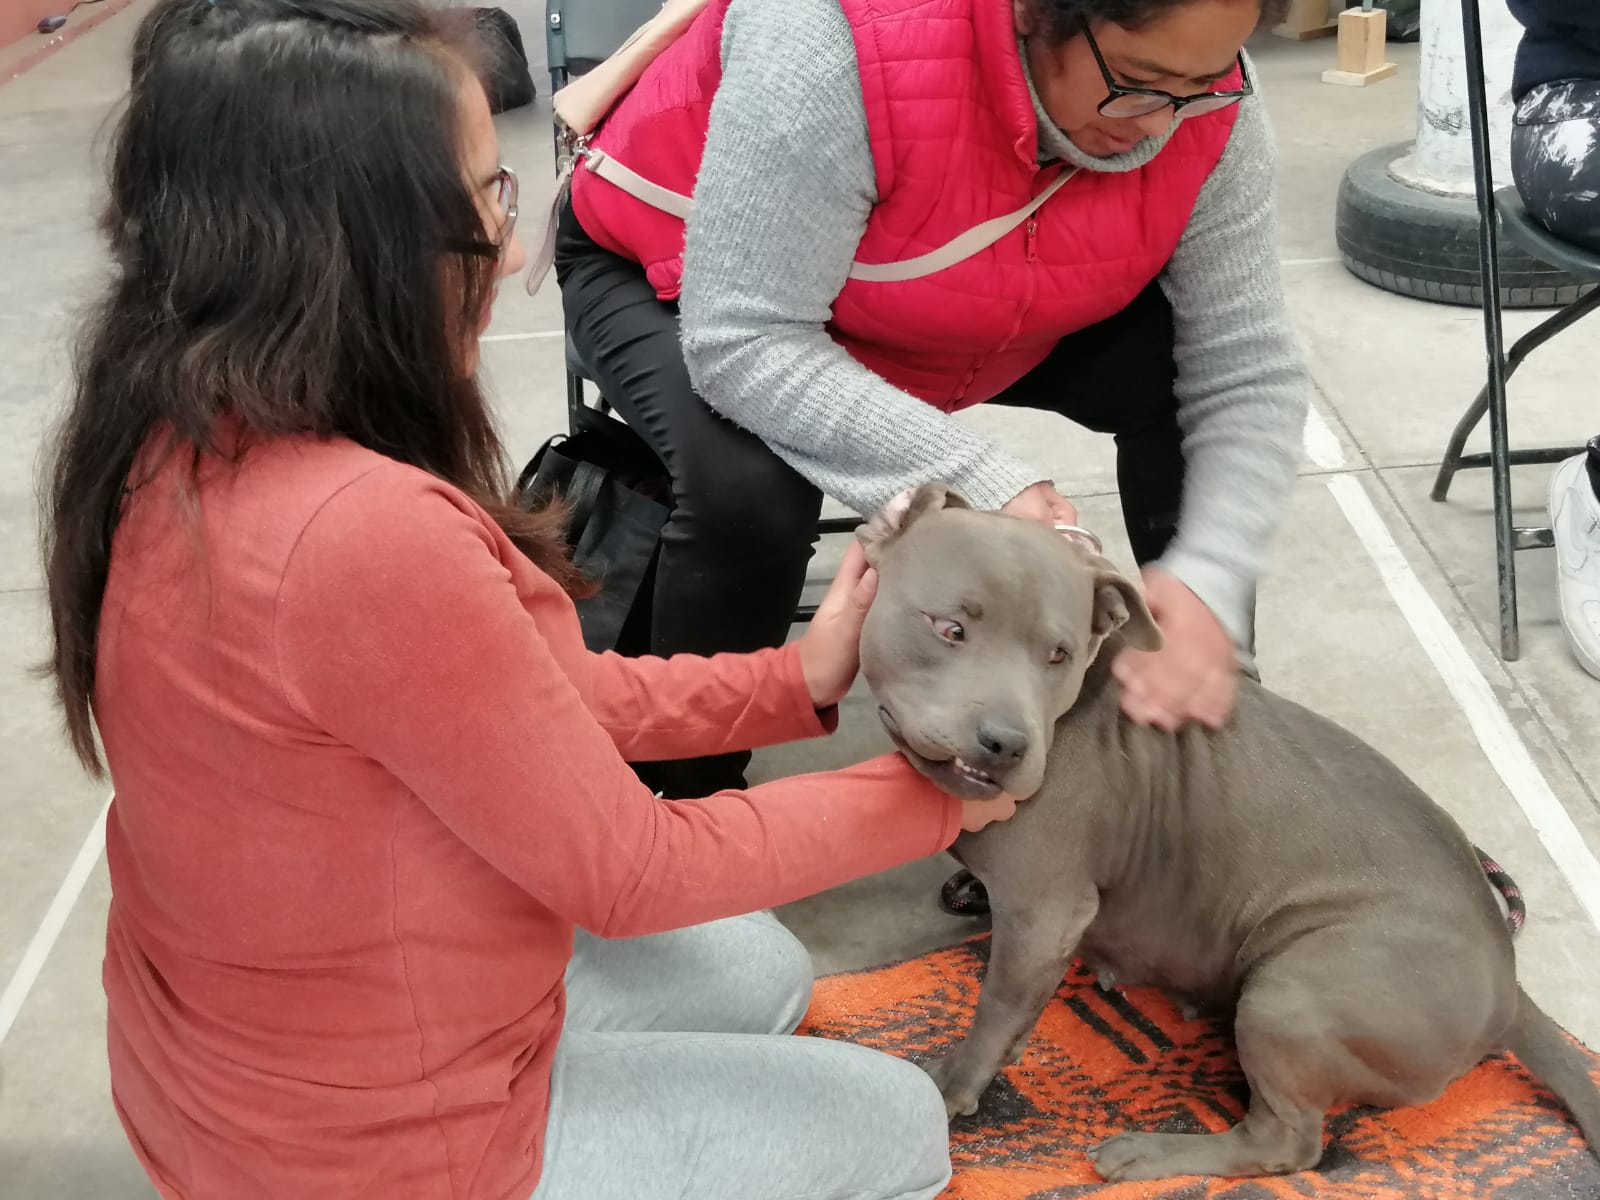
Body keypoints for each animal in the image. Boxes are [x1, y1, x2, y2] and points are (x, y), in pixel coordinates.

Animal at [864, 486, 1600, 1184]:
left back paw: (1148, 1153)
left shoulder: (1045, 910)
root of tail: (1510, 987)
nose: (1007, 743)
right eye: (949, 629)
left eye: (1058, 655)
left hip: (1290, 990)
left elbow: (992, 1011)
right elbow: (1015, 1005)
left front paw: (952, 1089)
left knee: (1285, 1142)